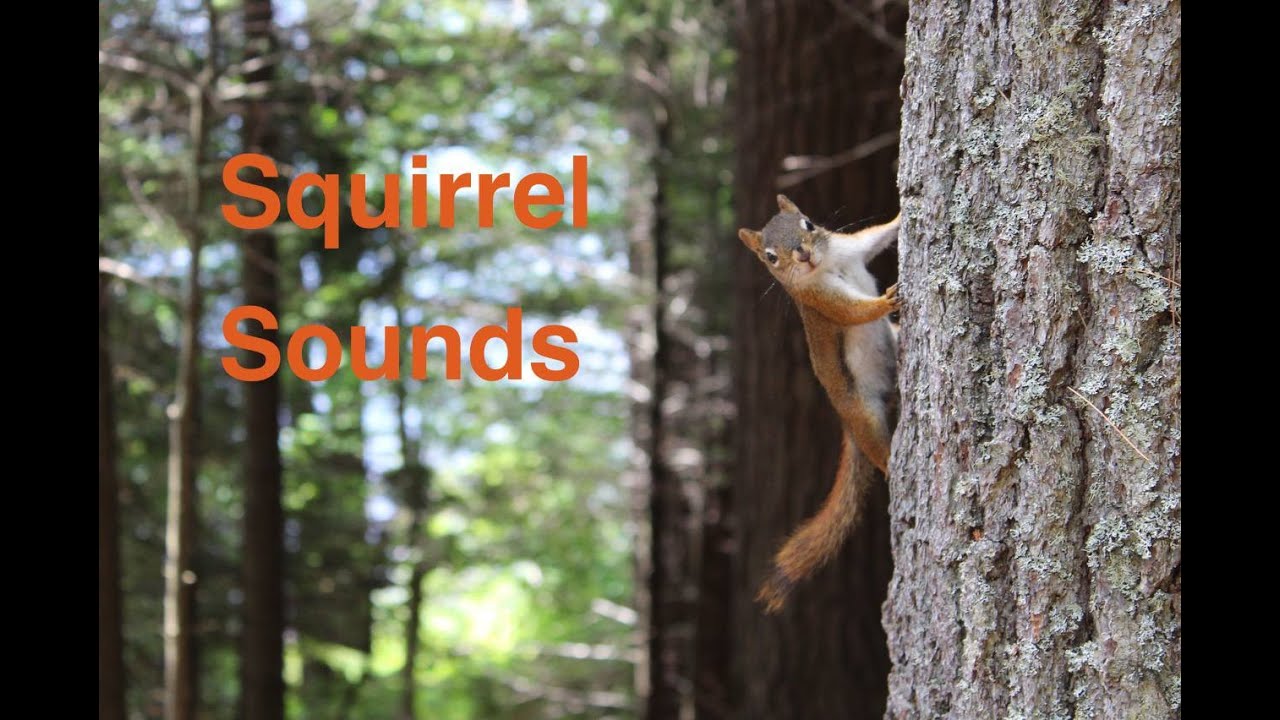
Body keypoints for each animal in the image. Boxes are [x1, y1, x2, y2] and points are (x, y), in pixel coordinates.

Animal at [737, 194, 901, 614]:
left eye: (808, 224)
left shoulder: (852, 247)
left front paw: (902, 213)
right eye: (770, 257)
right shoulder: (819, 300)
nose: (803, 255)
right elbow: (852, 311)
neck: (827, 264)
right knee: (876, 448)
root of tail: (846, 424)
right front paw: (885, 301)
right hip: (863, 413)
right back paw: (891, 464)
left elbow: (877, 236)